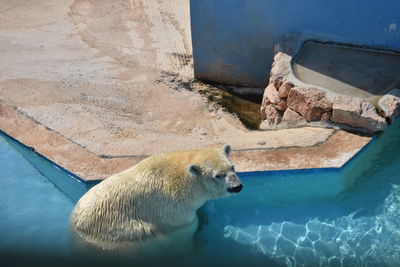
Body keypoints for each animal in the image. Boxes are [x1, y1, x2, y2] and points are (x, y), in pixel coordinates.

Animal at [70, 146, 242, 254]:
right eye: (217, 176)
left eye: (232, 167)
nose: (237, 186)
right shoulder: (175, 214)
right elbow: (184, 236)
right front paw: (198, 245)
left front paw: (205, 217)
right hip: (120, 231)